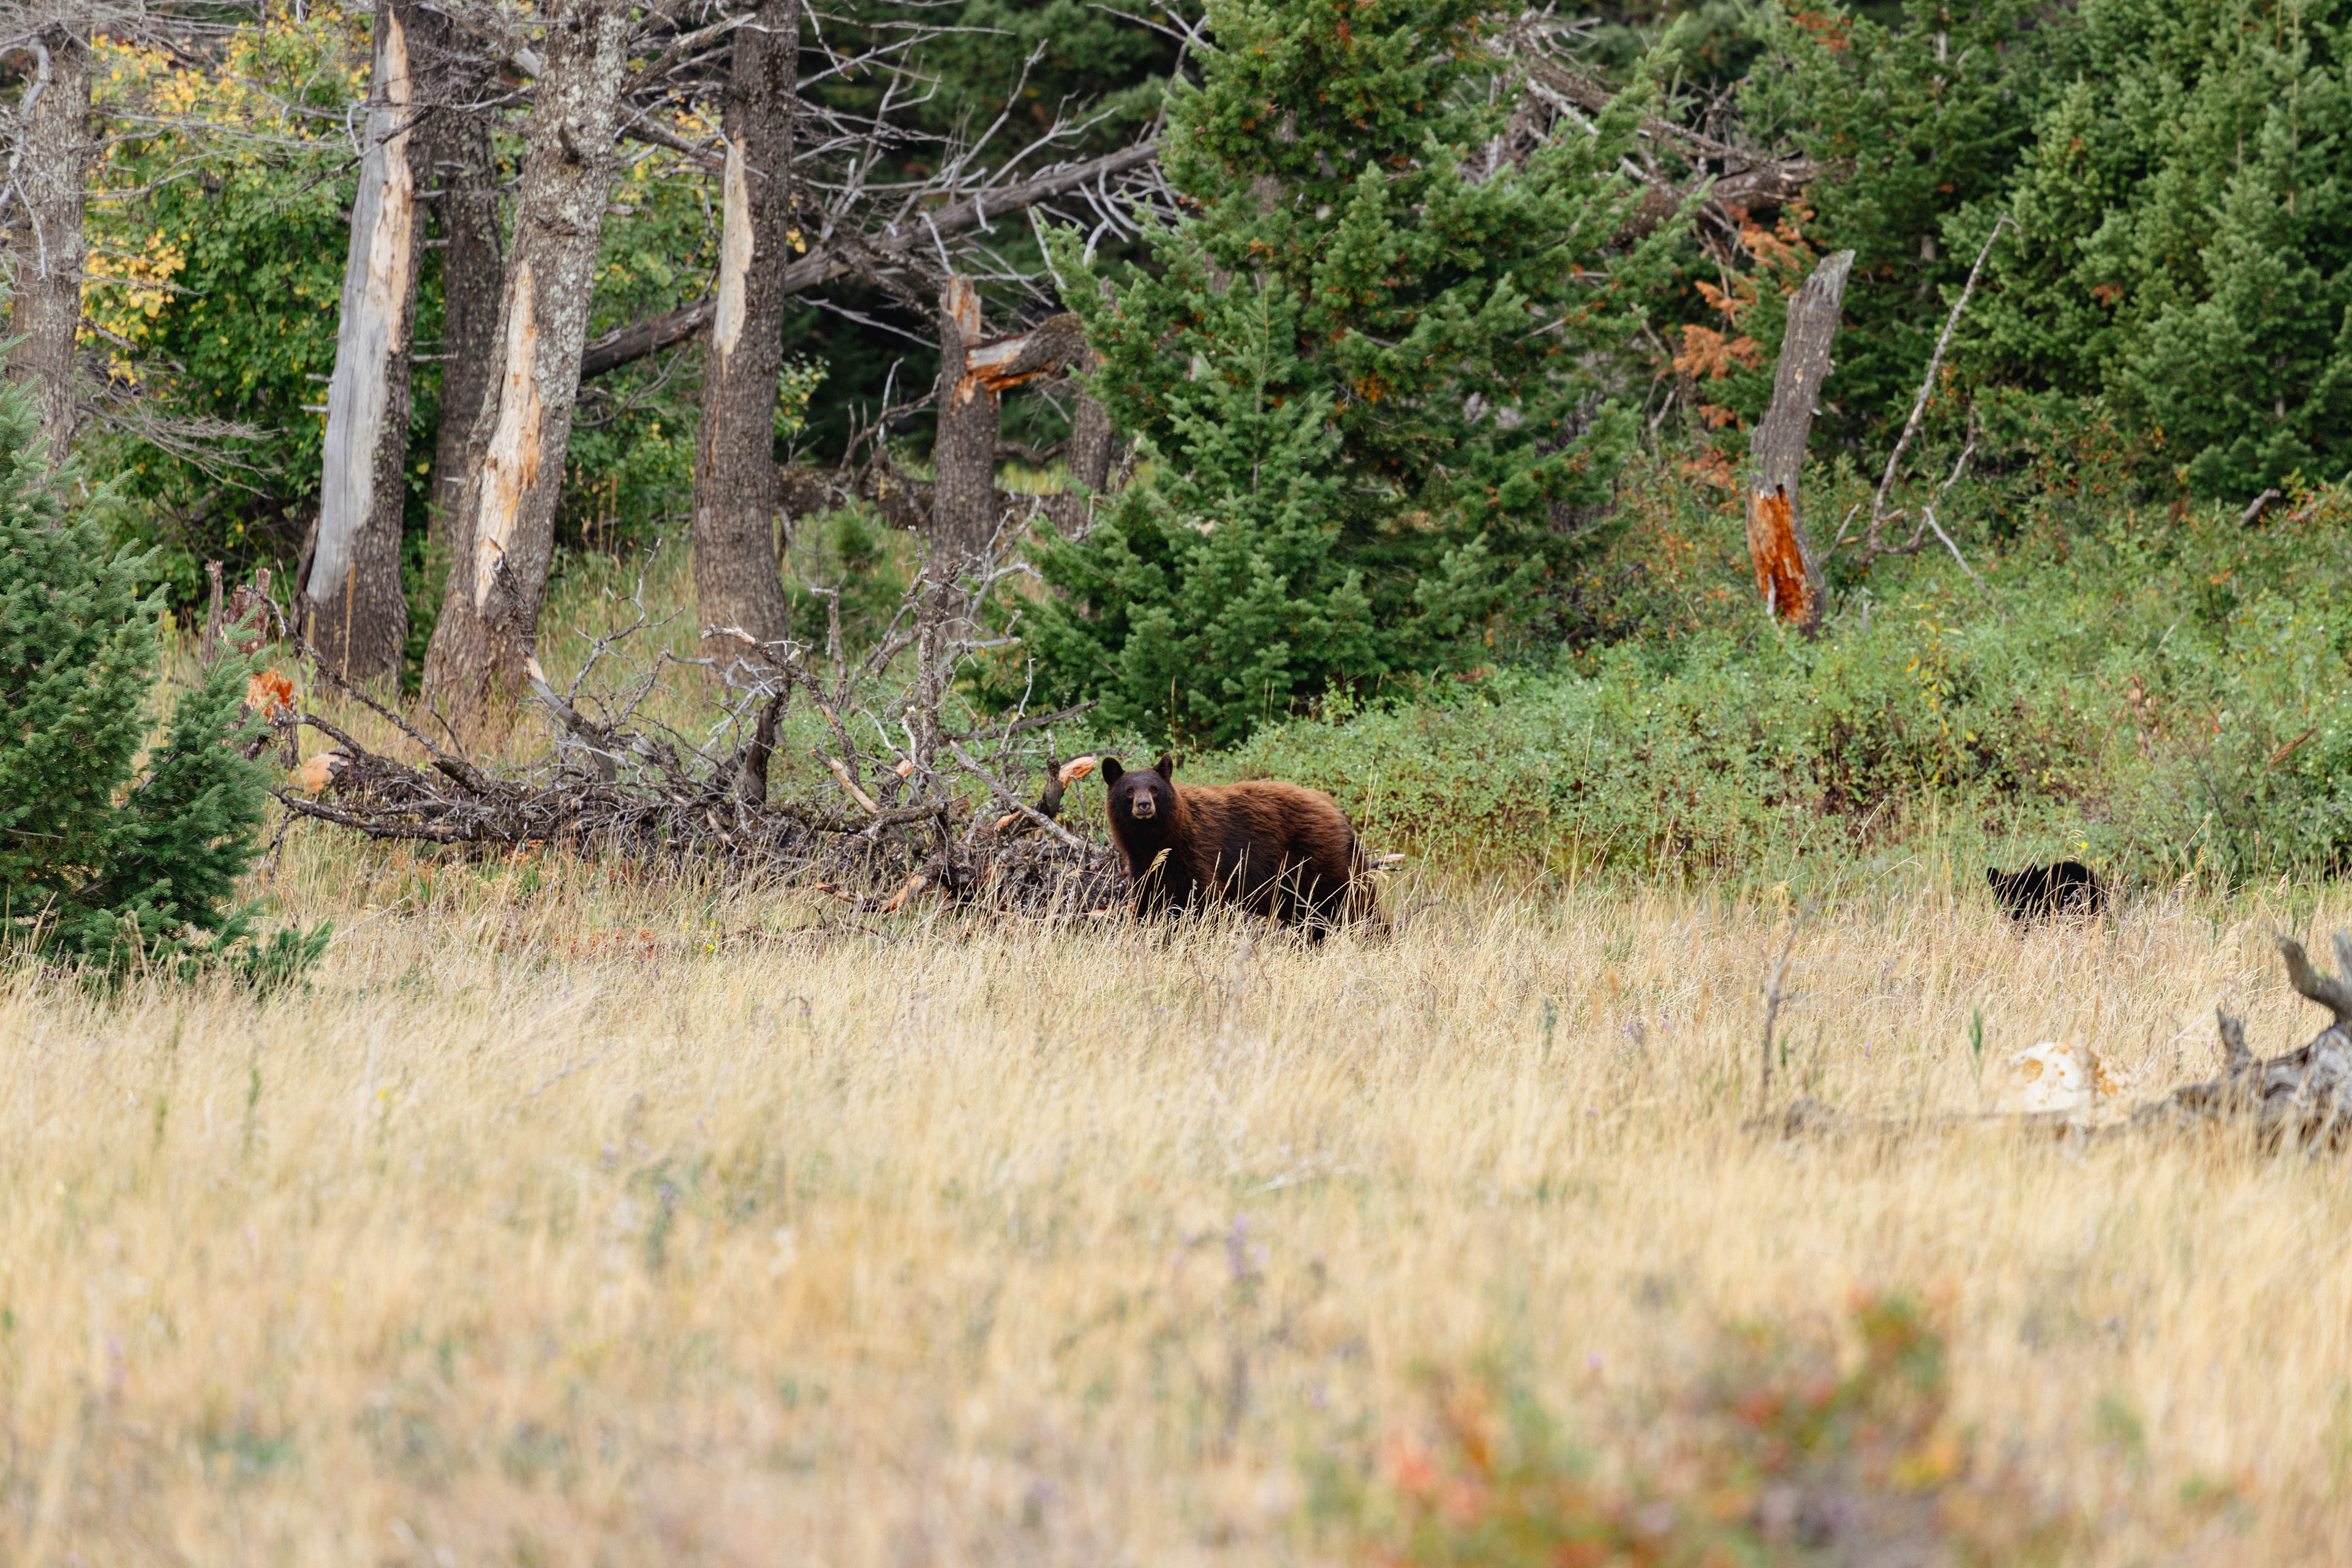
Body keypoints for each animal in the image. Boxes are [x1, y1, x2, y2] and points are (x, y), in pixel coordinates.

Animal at [1098, 754, 1378, 933]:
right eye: (1129, 790)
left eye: (1154, 788)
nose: (1144, 805)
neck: (1158, 839)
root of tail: (1335, 809)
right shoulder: (1146, 867)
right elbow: (1150, 904)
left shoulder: (1198, 854)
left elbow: (1204, 902)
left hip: (1320, 860)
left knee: (1355, 902)